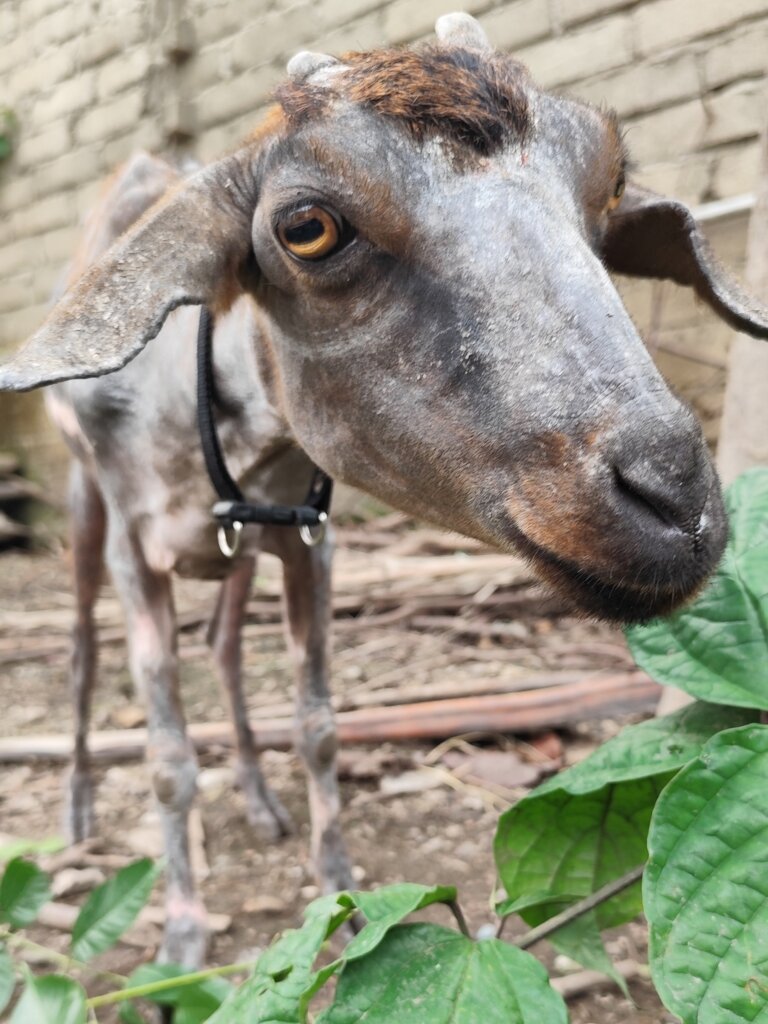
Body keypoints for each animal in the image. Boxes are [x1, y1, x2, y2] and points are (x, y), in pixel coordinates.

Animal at [2, 13, 768, 968]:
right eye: (306, 227)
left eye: (611, 182)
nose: (675, 500)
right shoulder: (135, 548)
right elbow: (169, 760)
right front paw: (181, 932)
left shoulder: (310, 535)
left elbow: (321, 725)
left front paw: (341, 887)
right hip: (82, 507)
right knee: (80, 650)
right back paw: (78, 812)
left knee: (223, 644)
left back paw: (259, 798)